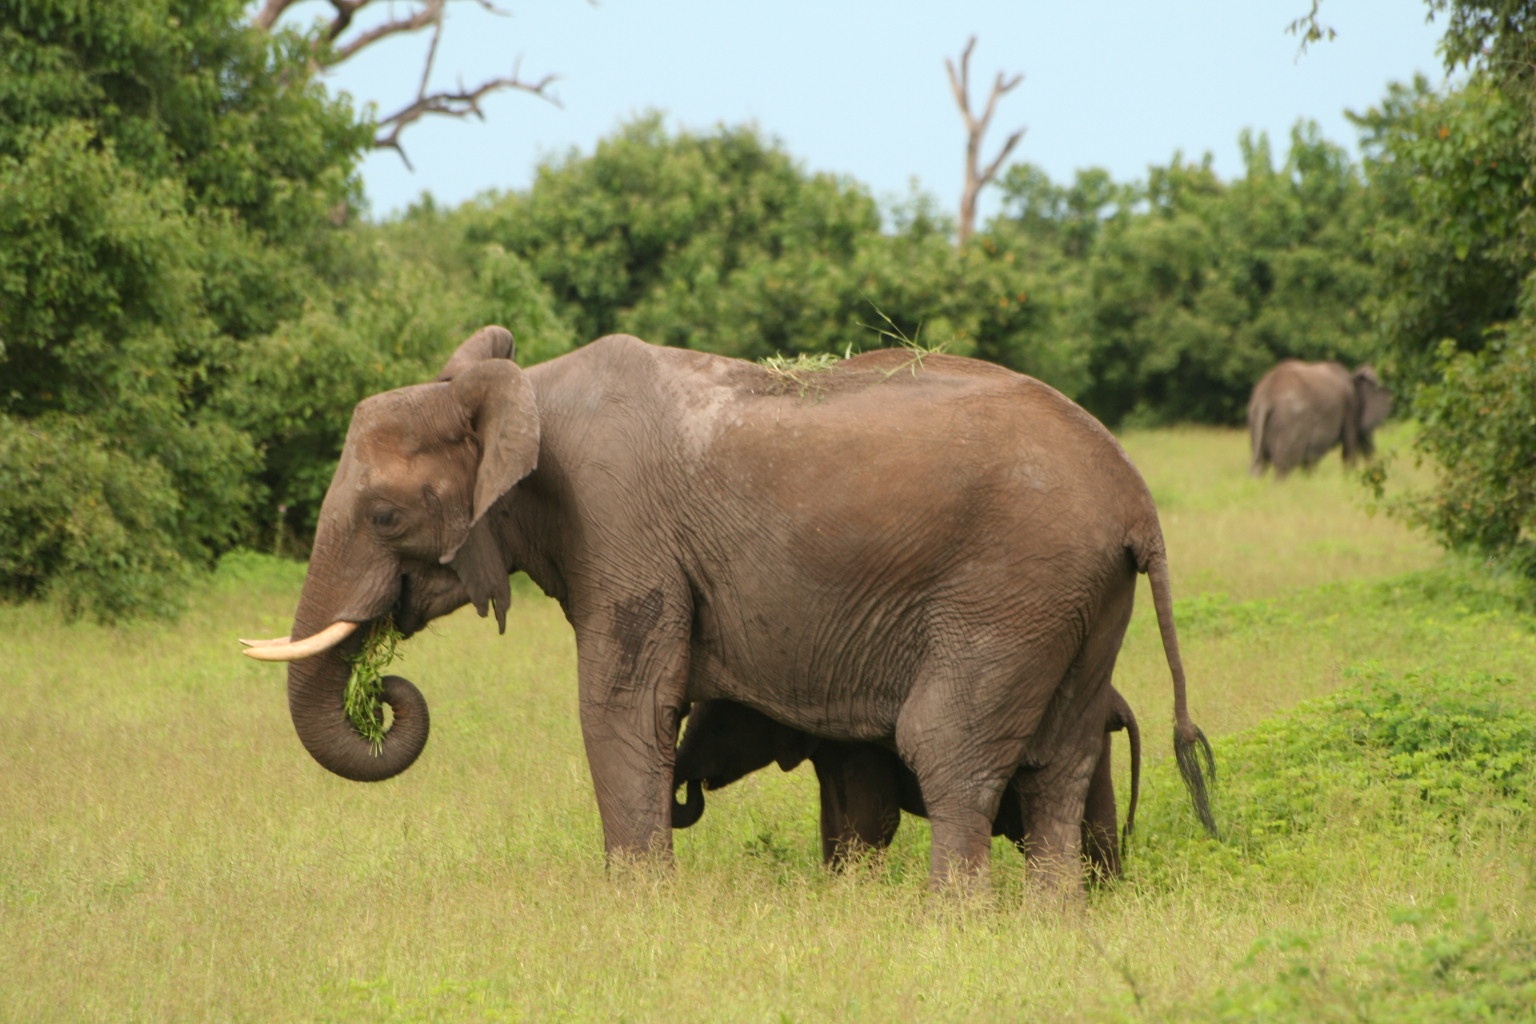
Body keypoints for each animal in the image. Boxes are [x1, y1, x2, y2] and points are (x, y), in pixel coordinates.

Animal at [672, 687, 1142, 884]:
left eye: (720, 725)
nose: (688, 781)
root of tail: (1118, 704)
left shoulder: (859, 747)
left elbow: (870, 821)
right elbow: (836, 822)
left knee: (1094, 830)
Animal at [1247, 359, 1394, 478]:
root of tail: (1265, 397)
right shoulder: (1350, 406)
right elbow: (1349, 445)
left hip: (1256, 420)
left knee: (1260, 464)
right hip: (1289, 421)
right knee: (1284, 466)